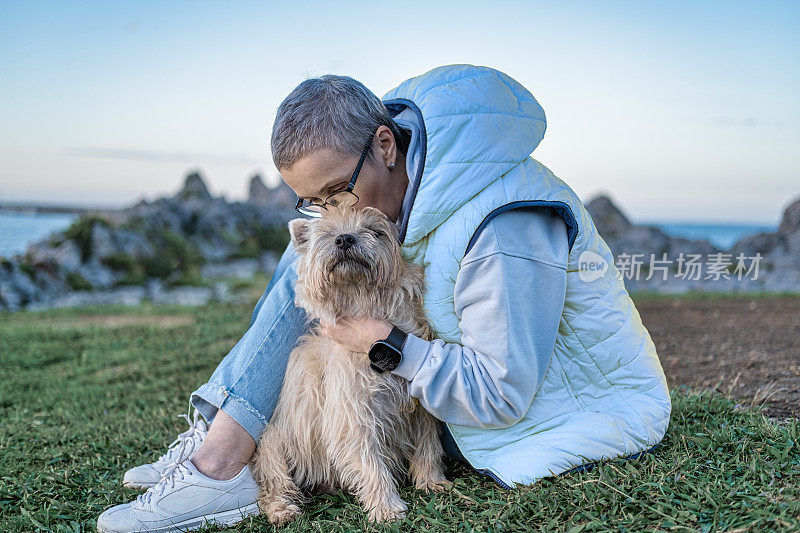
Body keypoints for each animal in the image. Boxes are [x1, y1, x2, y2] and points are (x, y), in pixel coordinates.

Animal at [252, 205, 450, 524]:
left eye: (375, 231)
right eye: (327, 233)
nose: (344, 239)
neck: (363, 302)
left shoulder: (419, 409)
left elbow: (428, 445)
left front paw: (432, 480)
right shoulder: (353, 413)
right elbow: (371, 462)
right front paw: (386, 507)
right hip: (274, 445)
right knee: (273, 485)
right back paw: (282, 509)